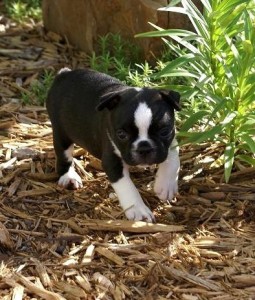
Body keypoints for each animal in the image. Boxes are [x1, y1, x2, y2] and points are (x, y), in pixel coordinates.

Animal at [46, 68, 181, 223]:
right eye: (121, 134)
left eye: (164, 132)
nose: (144, 148)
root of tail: (64, 73)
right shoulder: (112, 161)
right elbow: (126, 186)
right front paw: (138, 209)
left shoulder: (170, 142)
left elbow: (173, 159)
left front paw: (166, 185)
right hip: (61, 133)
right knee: (64, 156)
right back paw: (68, 177)